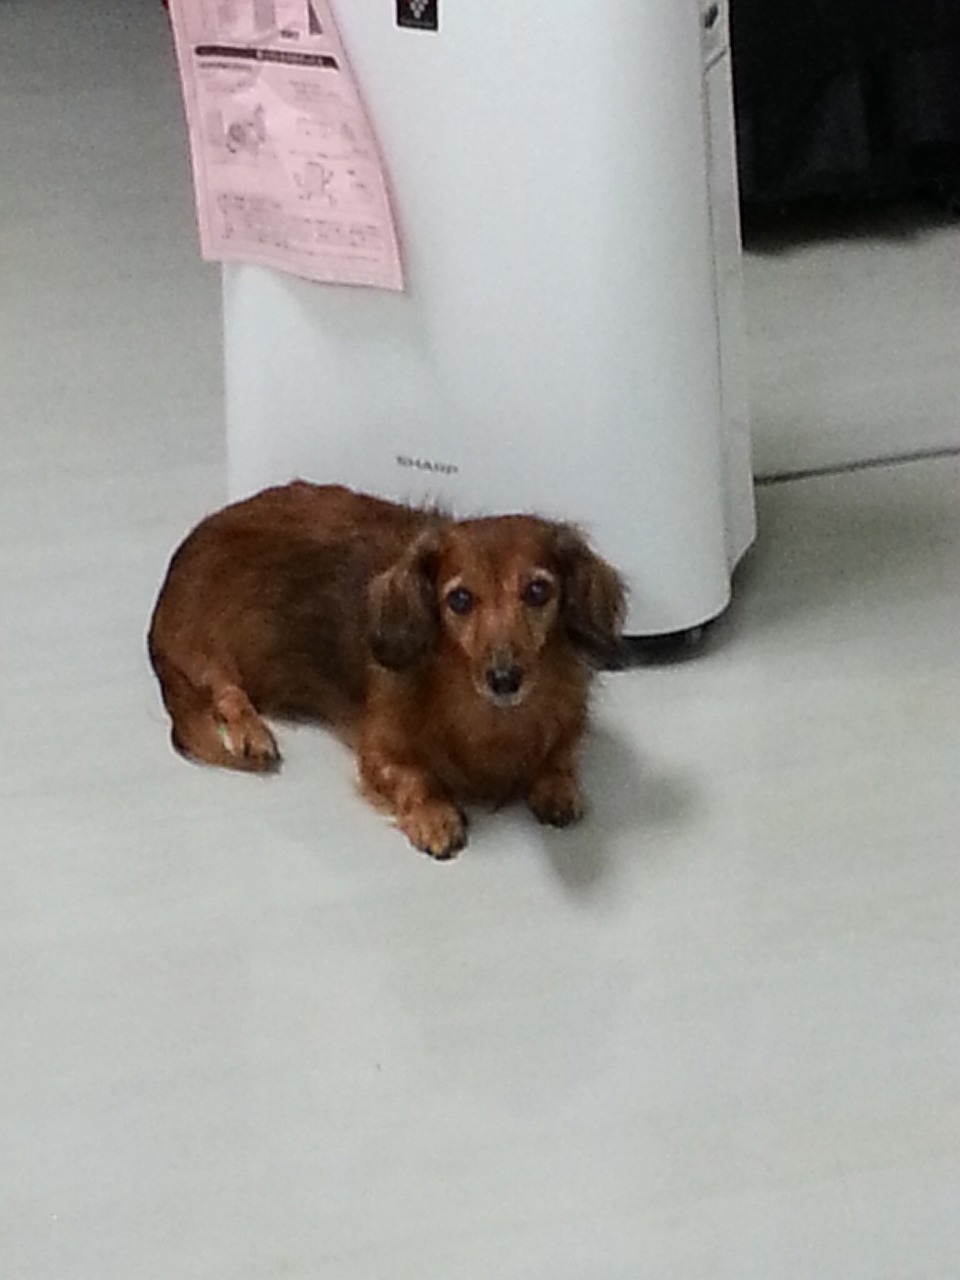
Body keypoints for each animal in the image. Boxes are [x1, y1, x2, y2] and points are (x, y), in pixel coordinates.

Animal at [147, 481, 626, 858]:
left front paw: (557, 787)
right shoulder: (379, 750)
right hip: (209, 648)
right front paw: (436, 818)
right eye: (460, 599)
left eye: (538, 590)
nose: (505, 680)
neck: (492, 720)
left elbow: (560, 756)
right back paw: (252, 733)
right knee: (225, 690)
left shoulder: (567, 724)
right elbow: (414, 778)